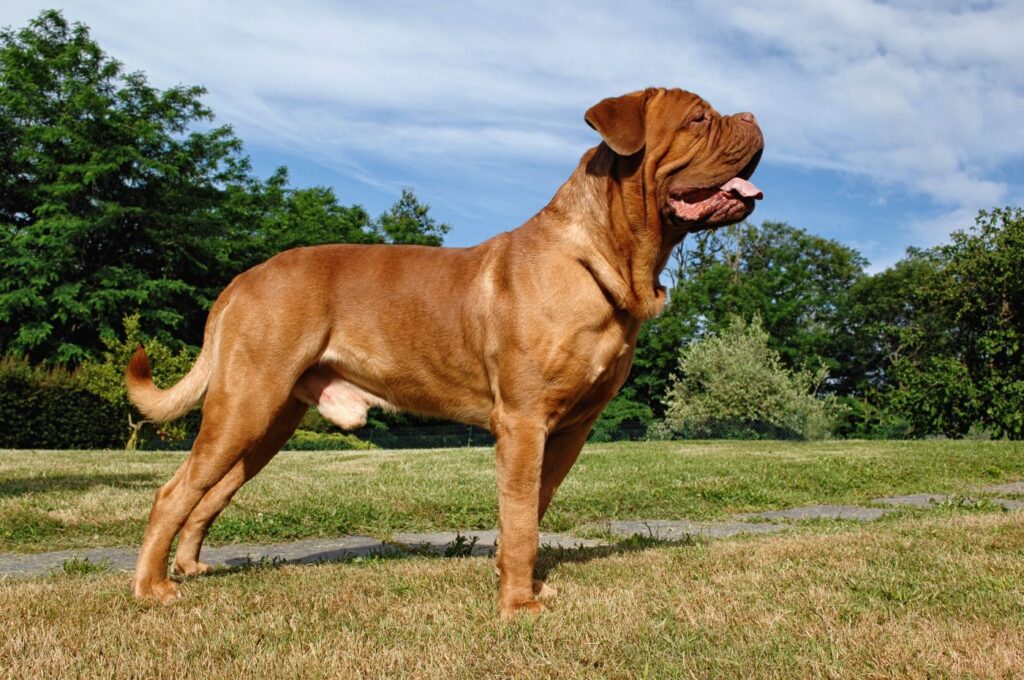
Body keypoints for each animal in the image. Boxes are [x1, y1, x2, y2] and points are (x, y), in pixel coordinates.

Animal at [125, 85, 761, 614]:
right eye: (699, 118)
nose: (755, 116)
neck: (603, 256)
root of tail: (243, 278)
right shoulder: (524, 422)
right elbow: (521, 518)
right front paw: (519, 606)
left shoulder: (571, 430)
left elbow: (532, 509)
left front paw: (524, 584)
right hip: (246, 404)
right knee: (173, 492)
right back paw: (152, 587)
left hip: (269, 421)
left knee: (208, 494)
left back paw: (189, 567)